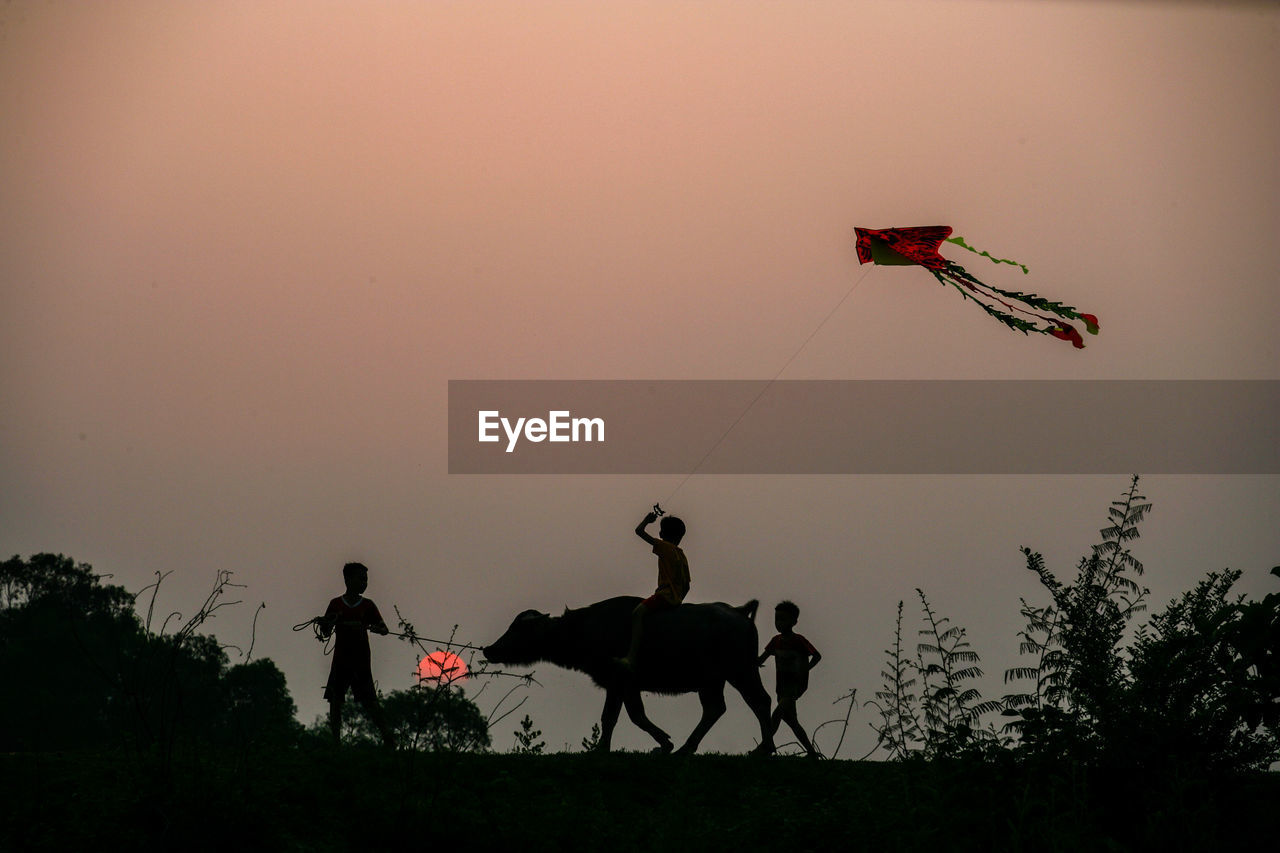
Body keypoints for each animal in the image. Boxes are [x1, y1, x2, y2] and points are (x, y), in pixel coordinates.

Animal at [486, 596, 768, 753]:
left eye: (518, 629)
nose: (489, 649)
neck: (586, 629)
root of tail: (739, 612)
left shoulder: (623, 682)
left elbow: (629, 716)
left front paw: (663, 743)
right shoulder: (618, 685)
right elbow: (615, 717)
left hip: (742, 671)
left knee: (760, 701)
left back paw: (763, 750)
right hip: (712, 682)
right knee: (715, 709)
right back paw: (687, 748)